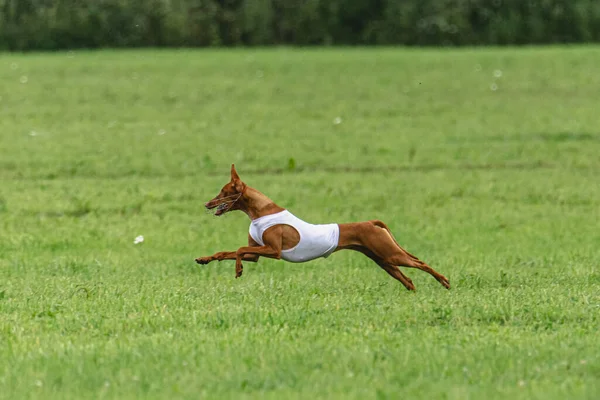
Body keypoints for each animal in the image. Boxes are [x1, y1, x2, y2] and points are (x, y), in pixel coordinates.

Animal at [197, 163, 450, 290]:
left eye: (223, 192)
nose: (206, 204)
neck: (260, 211)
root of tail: (370, 222)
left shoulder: (274, 251)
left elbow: (239, 250)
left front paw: (238, 270)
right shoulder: (257, 254)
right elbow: (227, 252)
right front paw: (204, 259)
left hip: (391, 254)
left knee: (420, 263)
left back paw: (444, 281)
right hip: (382, 260)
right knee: (408, 280)